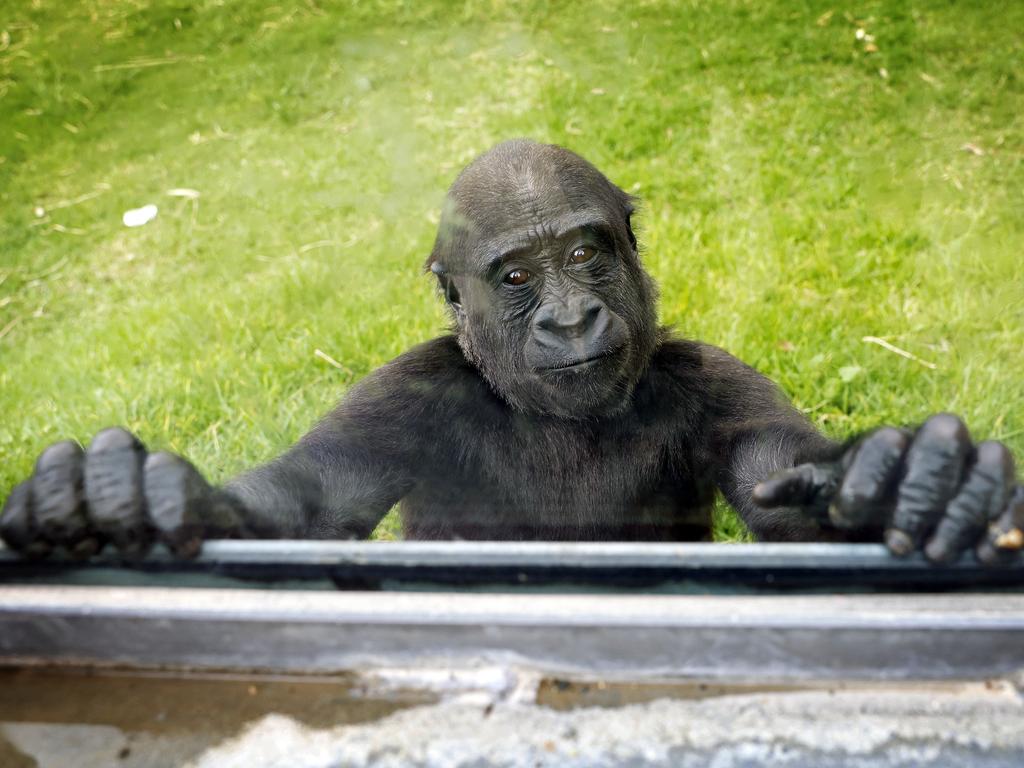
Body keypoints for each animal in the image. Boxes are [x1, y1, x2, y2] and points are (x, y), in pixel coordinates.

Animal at [2, 140, 1024, 565]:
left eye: (583, 255)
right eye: (518, 276)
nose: (569, 320)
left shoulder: (719, 389)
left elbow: (791, 499)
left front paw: (914, 482)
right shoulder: (401, 398)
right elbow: (305, 499)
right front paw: (124, 497)